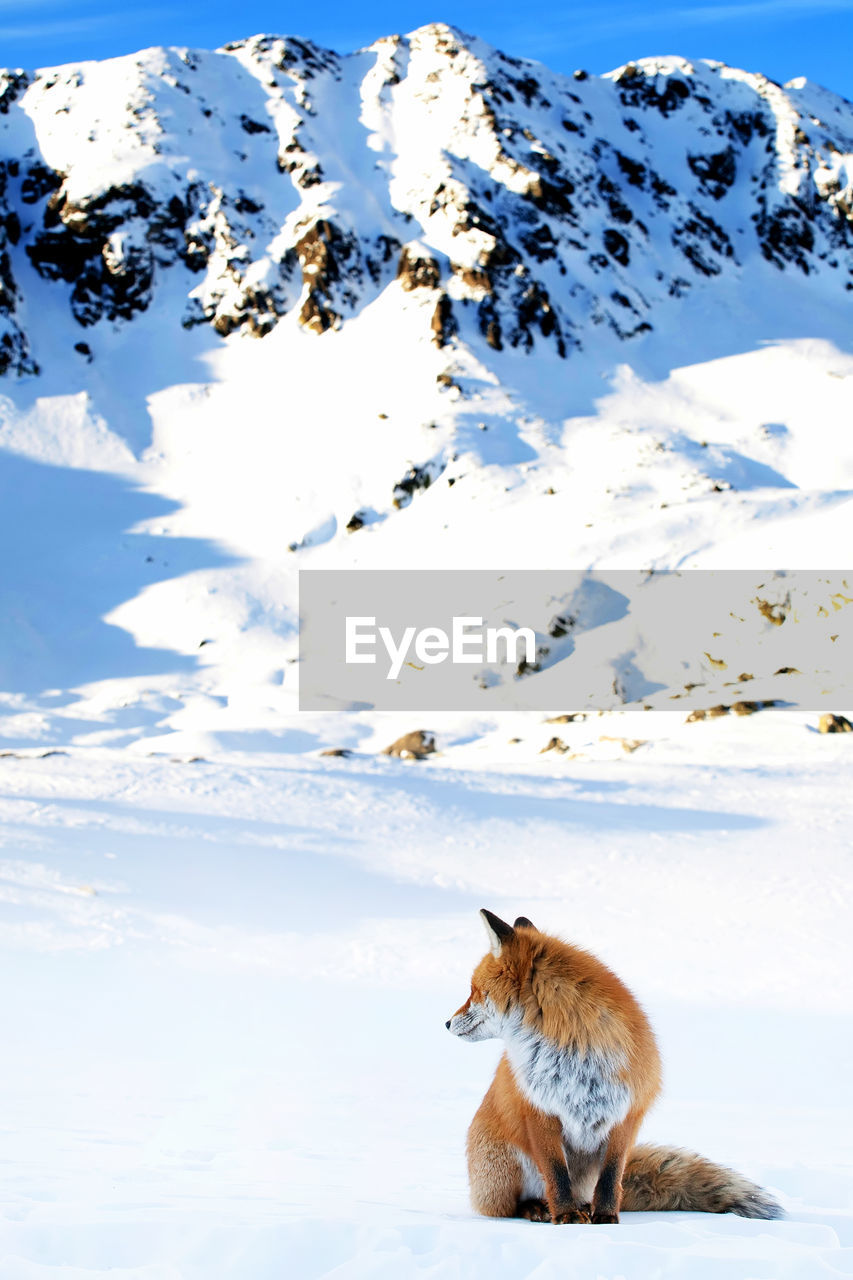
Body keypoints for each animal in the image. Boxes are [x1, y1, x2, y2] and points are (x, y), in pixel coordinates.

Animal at [448, 906, 778, 1223]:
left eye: (474, 990)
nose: (447, 1023)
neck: (575, 1052)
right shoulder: (539, 1110)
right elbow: (556, 1174)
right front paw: (565, 1216)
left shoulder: (625, 1112)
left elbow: (610, 1179)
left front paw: (605, 1217)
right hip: (507, 1167)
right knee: (509, 1206)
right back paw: (539, 1208)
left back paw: (580, 1207)